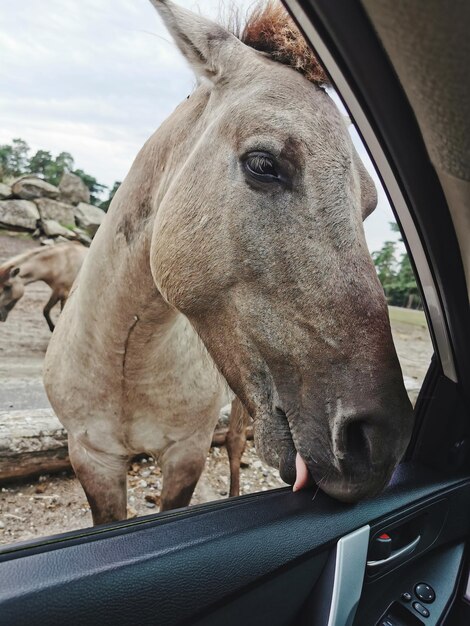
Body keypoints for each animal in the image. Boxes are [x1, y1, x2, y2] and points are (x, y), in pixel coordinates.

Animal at [43, 2, 412, 524]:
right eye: (263, 164)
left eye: (370, 203)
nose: (378, 441)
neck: (125, 363)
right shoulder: (92, 459)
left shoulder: (186, 453)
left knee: (237, 443)